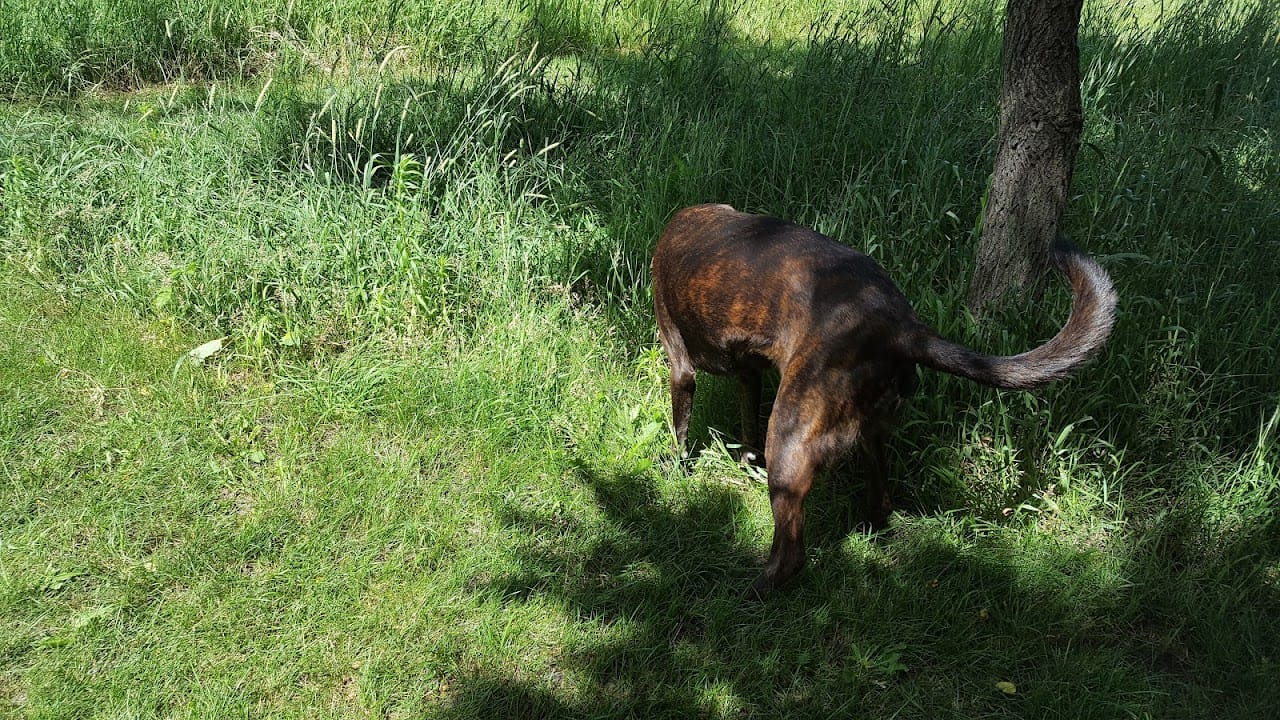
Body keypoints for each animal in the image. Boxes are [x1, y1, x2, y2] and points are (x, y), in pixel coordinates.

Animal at [655, 202, 1116, 594]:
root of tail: (901, 327)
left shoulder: (680, 366)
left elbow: (681, 429)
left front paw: (676, 470)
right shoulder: (749, 376)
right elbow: (747, 419)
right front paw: (744, 461)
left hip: (790, 437)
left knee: (792, 554)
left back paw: (750, 590)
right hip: (868, 435)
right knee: (881, 503)